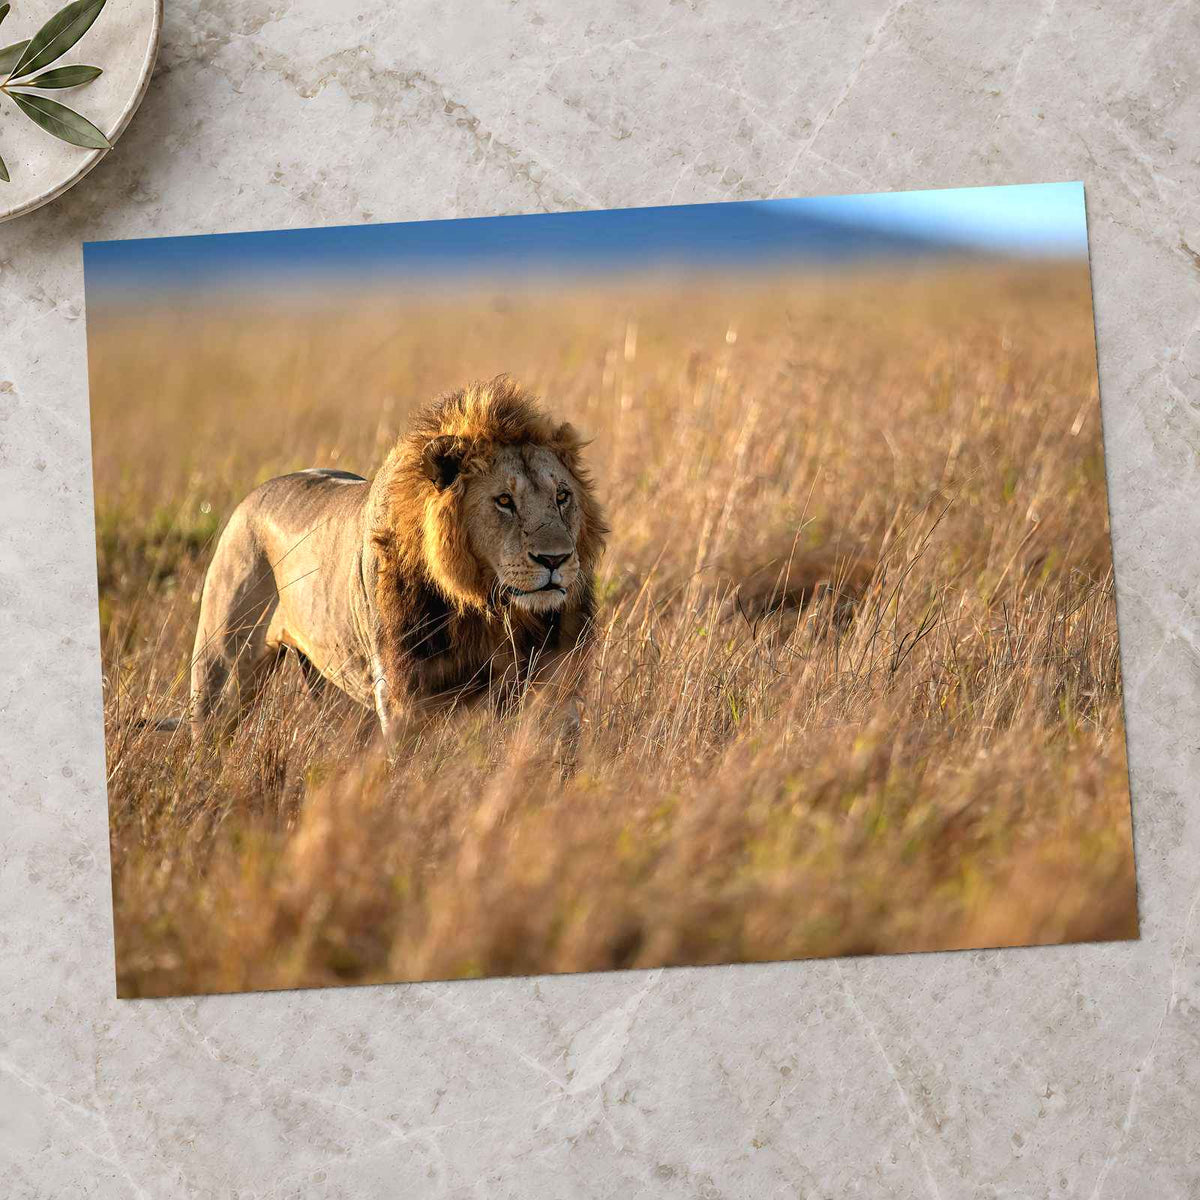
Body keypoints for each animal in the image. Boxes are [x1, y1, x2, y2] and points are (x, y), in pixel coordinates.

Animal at [184, 376, 607, 754]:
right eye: (504, 500)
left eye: (562, 496)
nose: (555, 559)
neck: (487, 606)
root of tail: (248, 500)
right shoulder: (405, 698)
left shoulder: (556, 687)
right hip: (222, 671)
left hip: (338, 687)